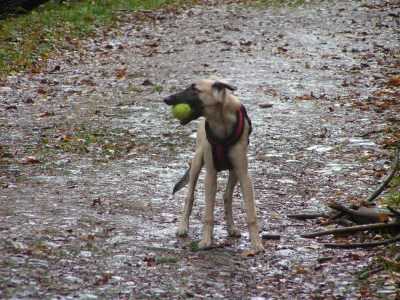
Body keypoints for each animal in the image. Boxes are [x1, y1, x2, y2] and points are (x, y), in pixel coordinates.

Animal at [164, 78, 264, 252]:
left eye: (194, 89)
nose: (166, 99)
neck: (221, 121)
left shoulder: (244, 174)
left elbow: (251, 214)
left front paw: (256, 243)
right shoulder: (210, 174)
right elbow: (208, 214)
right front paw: (206, 241)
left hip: (234, 172)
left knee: (227, 196)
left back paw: (231, 227)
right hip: (197, 163)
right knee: (189, 197)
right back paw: (183, 227)